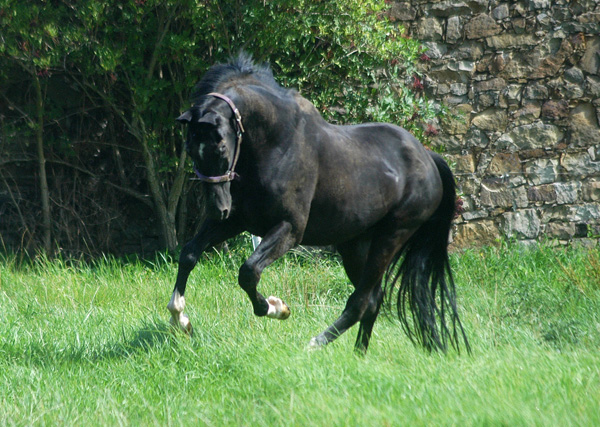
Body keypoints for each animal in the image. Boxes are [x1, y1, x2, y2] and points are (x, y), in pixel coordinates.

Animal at [168, 53, 468, 354]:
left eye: (220, 147)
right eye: (191, 150)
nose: (219, 209)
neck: (275, 145)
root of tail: (429, 158)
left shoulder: (289, 228)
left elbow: (249, 272)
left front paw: (277, 308)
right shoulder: (238, 221)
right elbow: (190, 253)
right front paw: (179, 318)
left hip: (391, 236)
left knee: (360, 301)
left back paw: (314, 344)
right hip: (354, 244)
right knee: (373, 299)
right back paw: (358, 355)